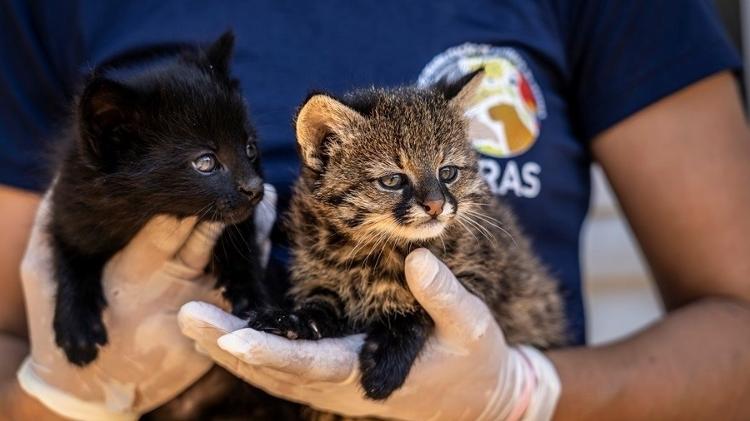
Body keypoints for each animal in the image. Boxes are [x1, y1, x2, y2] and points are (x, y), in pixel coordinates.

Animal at [49, 32, 270, 366]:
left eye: (250, 148)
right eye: (206, 162)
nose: (254, 188)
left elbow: (243, 249)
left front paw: (253, 297)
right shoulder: (71, 206)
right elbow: (69, 255)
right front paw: (77, 327)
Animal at [250, 70, 568, 398]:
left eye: (447, 173)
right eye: (392, 180)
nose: (436, 205)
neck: (378, 248)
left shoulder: (481, 279)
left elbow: (421, 308)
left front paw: (388, 356)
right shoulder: (317, 272)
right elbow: (320, 301)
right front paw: (297, 319)